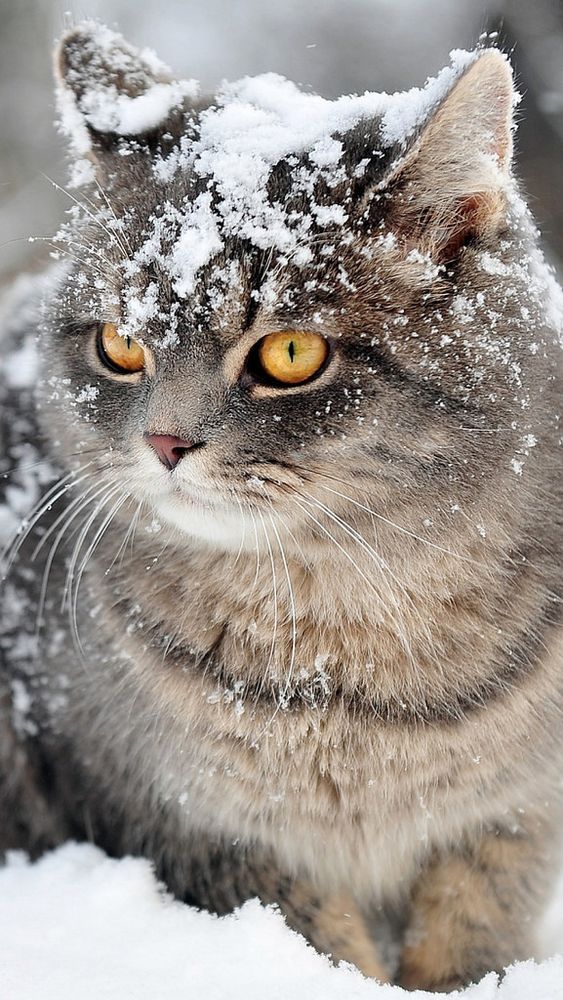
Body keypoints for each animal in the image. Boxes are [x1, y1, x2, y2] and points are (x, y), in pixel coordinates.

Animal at [1, 23, 563, 992]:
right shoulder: (192, 828)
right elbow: (317, 943)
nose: (165, 442)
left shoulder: (510, 822)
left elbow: (471, 936)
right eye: (121, 345)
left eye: (290, 354)